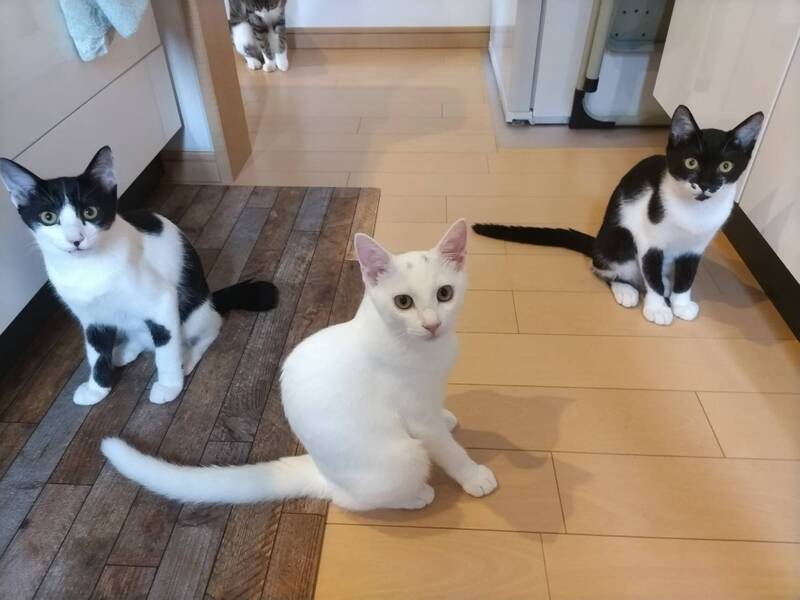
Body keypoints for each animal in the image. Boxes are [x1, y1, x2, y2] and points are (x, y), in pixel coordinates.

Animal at [0, 147, 278, 406]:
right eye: (48, 217)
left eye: (90, 212)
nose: (75, 239)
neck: (87, 269)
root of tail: (209, 297)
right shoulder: (91, 317)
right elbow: (95, 352)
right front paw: (97, 388)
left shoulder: (162, 301)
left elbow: (166, 350)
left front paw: (169, 386)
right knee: (142, 337)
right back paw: (125, 351)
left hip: (194, 313)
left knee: (205, 329)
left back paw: (186, 358)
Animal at [101, 220, 499, 511]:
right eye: (403, 302)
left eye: (445, 294)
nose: (432, 324)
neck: (421, 348)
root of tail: (322, 474)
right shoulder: (416, 416)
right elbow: (446, 448)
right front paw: (474, 476)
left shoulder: (430, 391)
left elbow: (438, 416)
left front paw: (447, 417)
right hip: (404, 457)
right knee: (351, 501)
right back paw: (416, 496)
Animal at [473, 105, 763, 326]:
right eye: (690, 162)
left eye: (726, 166)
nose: (705, 185)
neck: (694, 212)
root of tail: (597, 242)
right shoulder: (649, 240)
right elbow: (651, 276)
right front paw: (658, 309)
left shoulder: (695, 248)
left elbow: (687, 277)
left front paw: (681, 303)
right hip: (619, 238)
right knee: (605, 269)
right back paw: (627, 289)